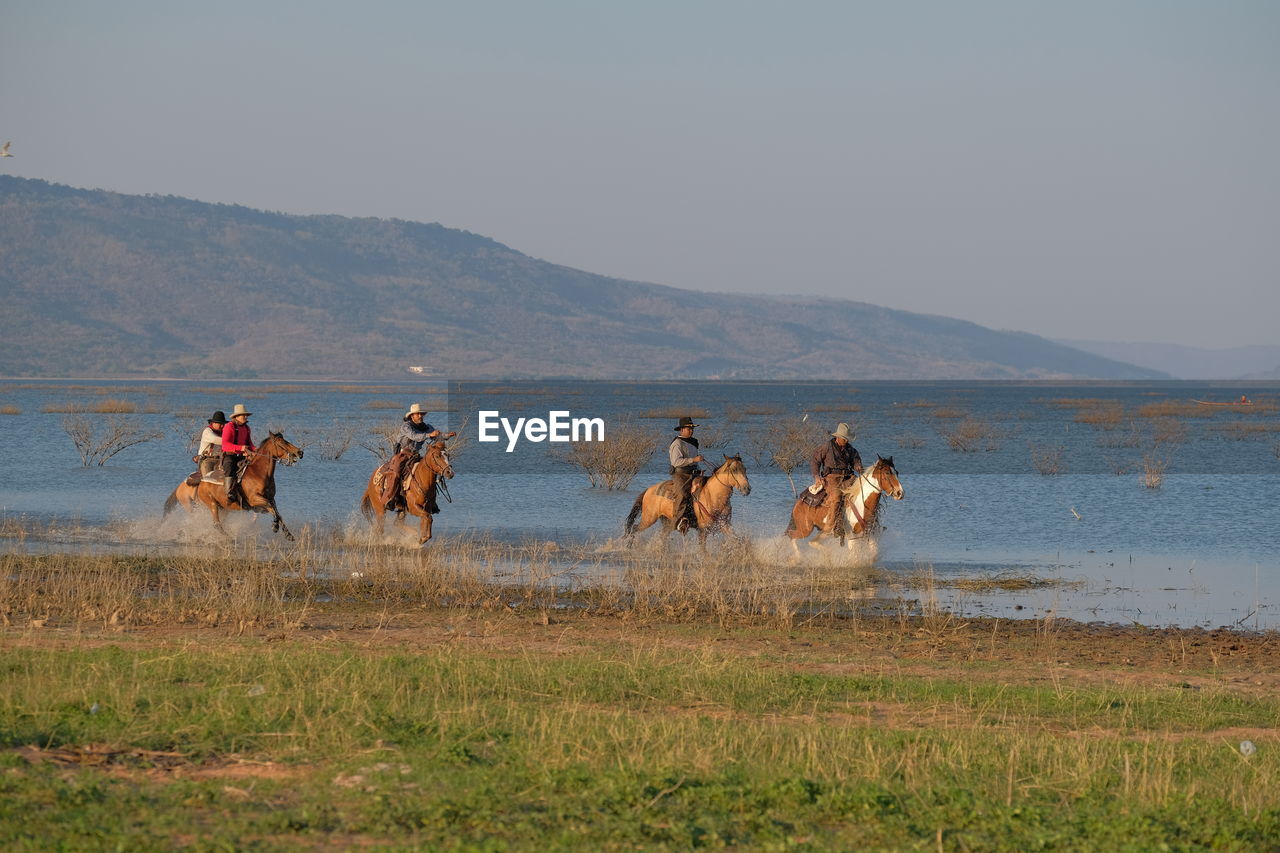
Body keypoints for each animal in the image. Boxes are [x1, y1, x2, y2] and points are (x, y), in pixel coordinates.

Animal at [162, 427, 304, 540]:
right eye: (281, 442)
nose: (299, 452)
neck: (258, 473)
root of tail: (202, 482)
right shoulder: (255, 500)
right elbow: (273, 511)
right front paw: (274, 527)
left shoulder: (271, 499)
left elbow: (278, 513)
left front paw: (288, 535)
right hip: (210, 505)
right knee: (216, 524)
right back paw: (228, 537)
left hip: (223, 508)